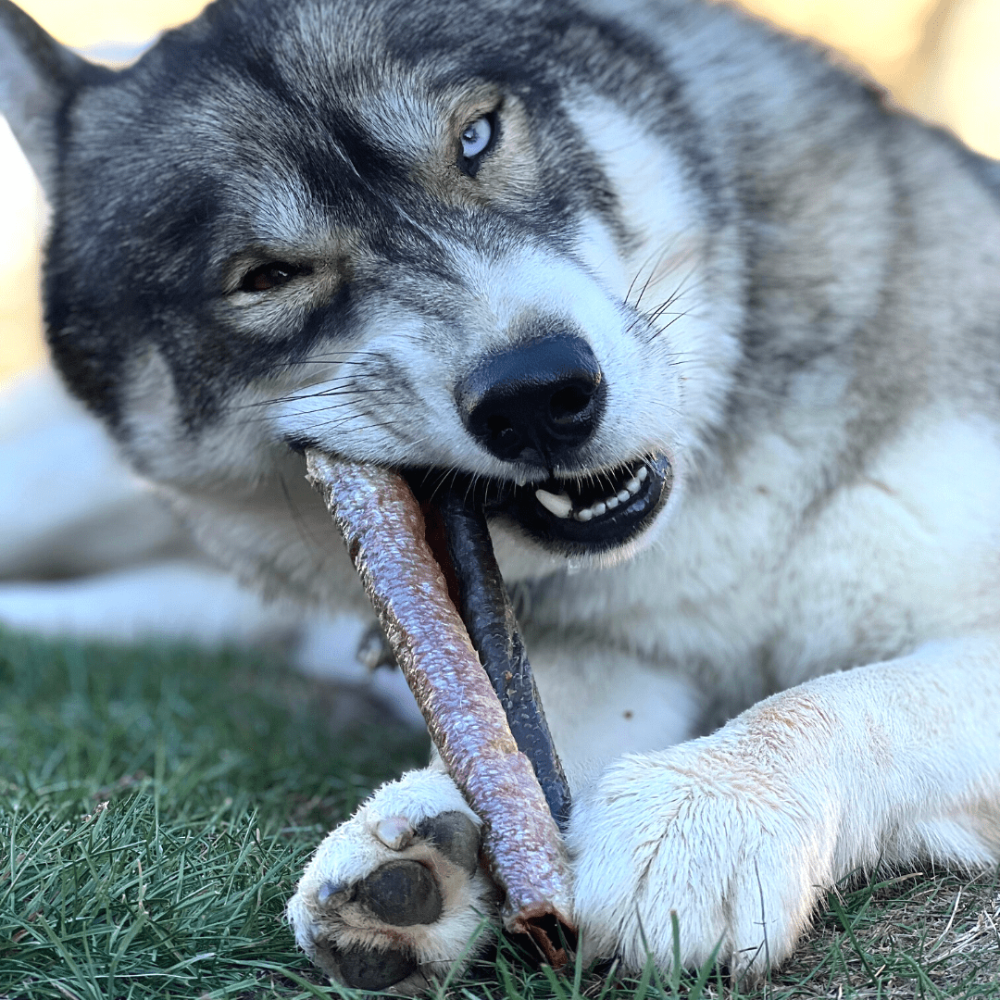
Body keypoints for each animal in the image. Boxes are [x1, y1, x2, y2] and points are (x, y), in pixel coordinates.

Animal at [1, 0, 1000, 988]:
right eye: (269, 276)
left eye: (476, 138)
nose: (537, 395)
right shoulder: (614, 649)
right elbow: (521, 727)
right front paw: (425, 835)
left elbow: (837, 698)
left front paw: (700, 811)